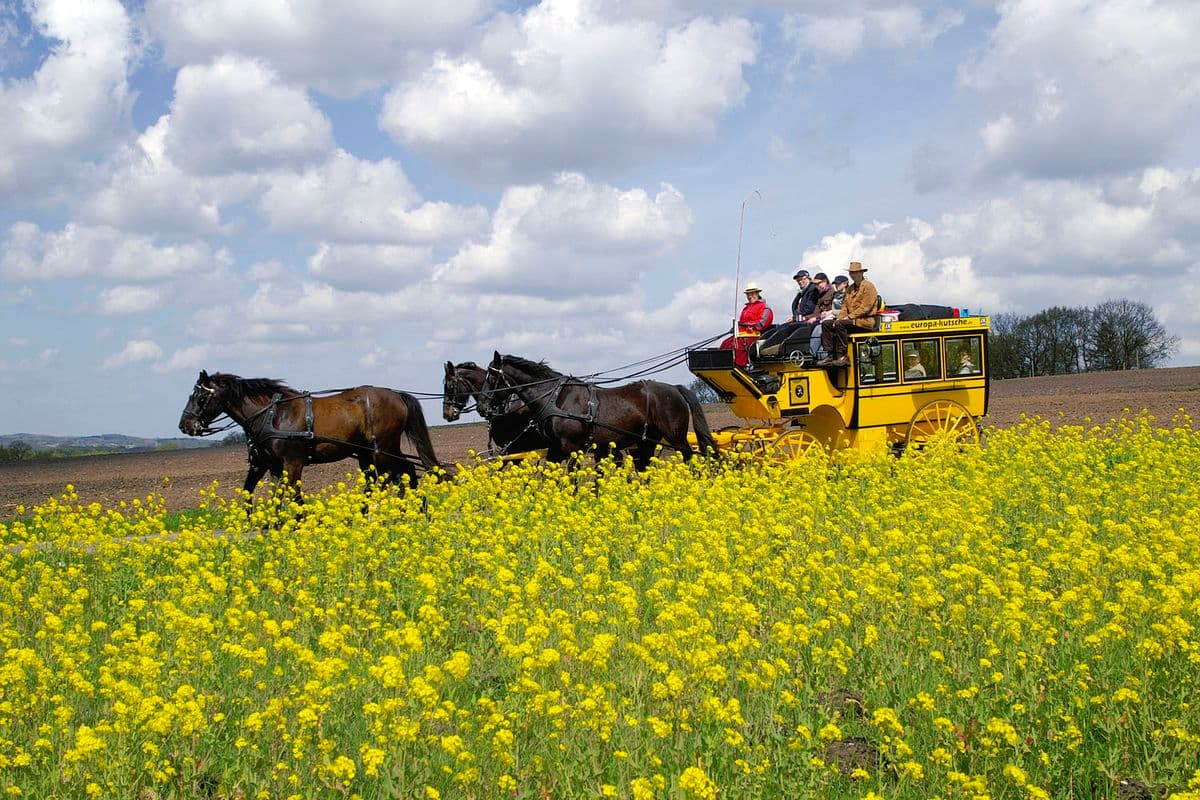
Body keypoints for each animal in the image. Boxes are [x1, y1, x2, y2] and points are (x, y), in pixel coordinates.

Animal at [177, 371, 441, 496]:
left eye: (200, 396)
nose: (185, 425)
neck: (273, 414)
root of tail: (397, 394)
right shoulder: (271, 464)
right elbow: (273, 495)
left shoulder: (293, 461)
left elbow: (293, 495)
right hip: (377, 451)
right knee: (405, 472)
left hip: (382, 449)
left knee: (396, 476)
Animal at [472, 350, 710, 470]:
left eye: (491, 377)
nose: (482, 406)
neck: (556, 398)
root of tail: (676, 388)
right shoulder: (555, 448)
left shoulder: (571, 446)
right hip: (646, 442)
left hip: (676, 438)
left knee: (691, 459)